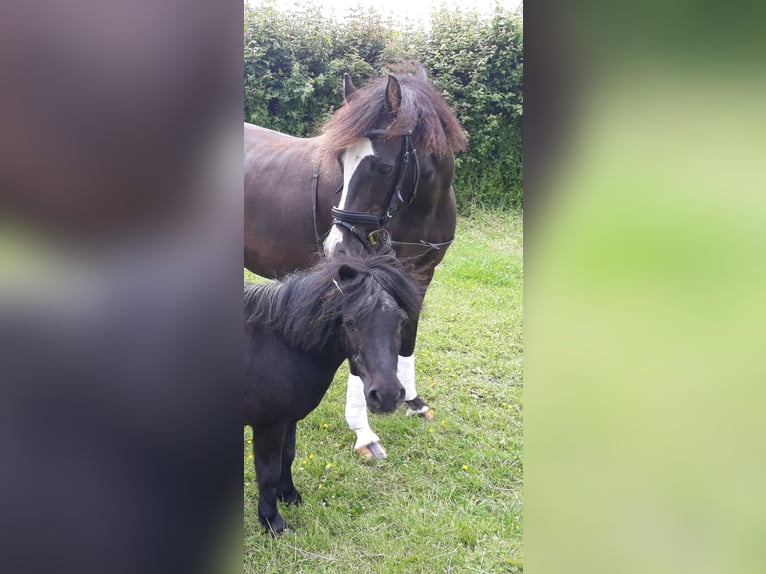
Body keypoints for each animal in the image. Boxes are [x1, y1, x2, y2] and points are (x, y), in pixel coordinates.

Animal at [244, 70, 468, 462]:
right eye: (340, 161)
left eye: (383, 167)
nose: (338, 245)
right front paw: (364, 433)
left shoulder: (419, 277)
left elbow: (407, 336)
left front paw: (413, 401)